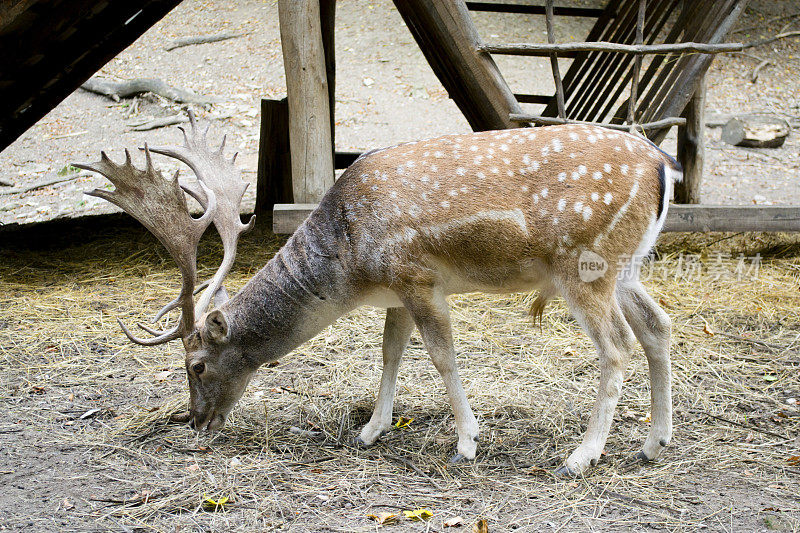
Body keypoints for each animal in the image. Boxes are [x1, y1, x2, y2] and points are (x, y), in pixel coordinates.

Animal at [78, 111, 680, 474]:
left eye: (197, 365)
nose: (196, 420)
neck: (352, 267)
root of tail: (662, 165)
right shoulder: (395, 294)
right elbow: (390, 353)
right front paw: (371, 430)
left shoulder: (416, 277)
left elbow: (441, 356)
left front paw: (467, 443)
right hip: (627, 268)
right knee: (659, 326)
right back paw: (654, 442)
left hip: (585, 266)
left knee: (617, 345)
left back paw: (582, 455)